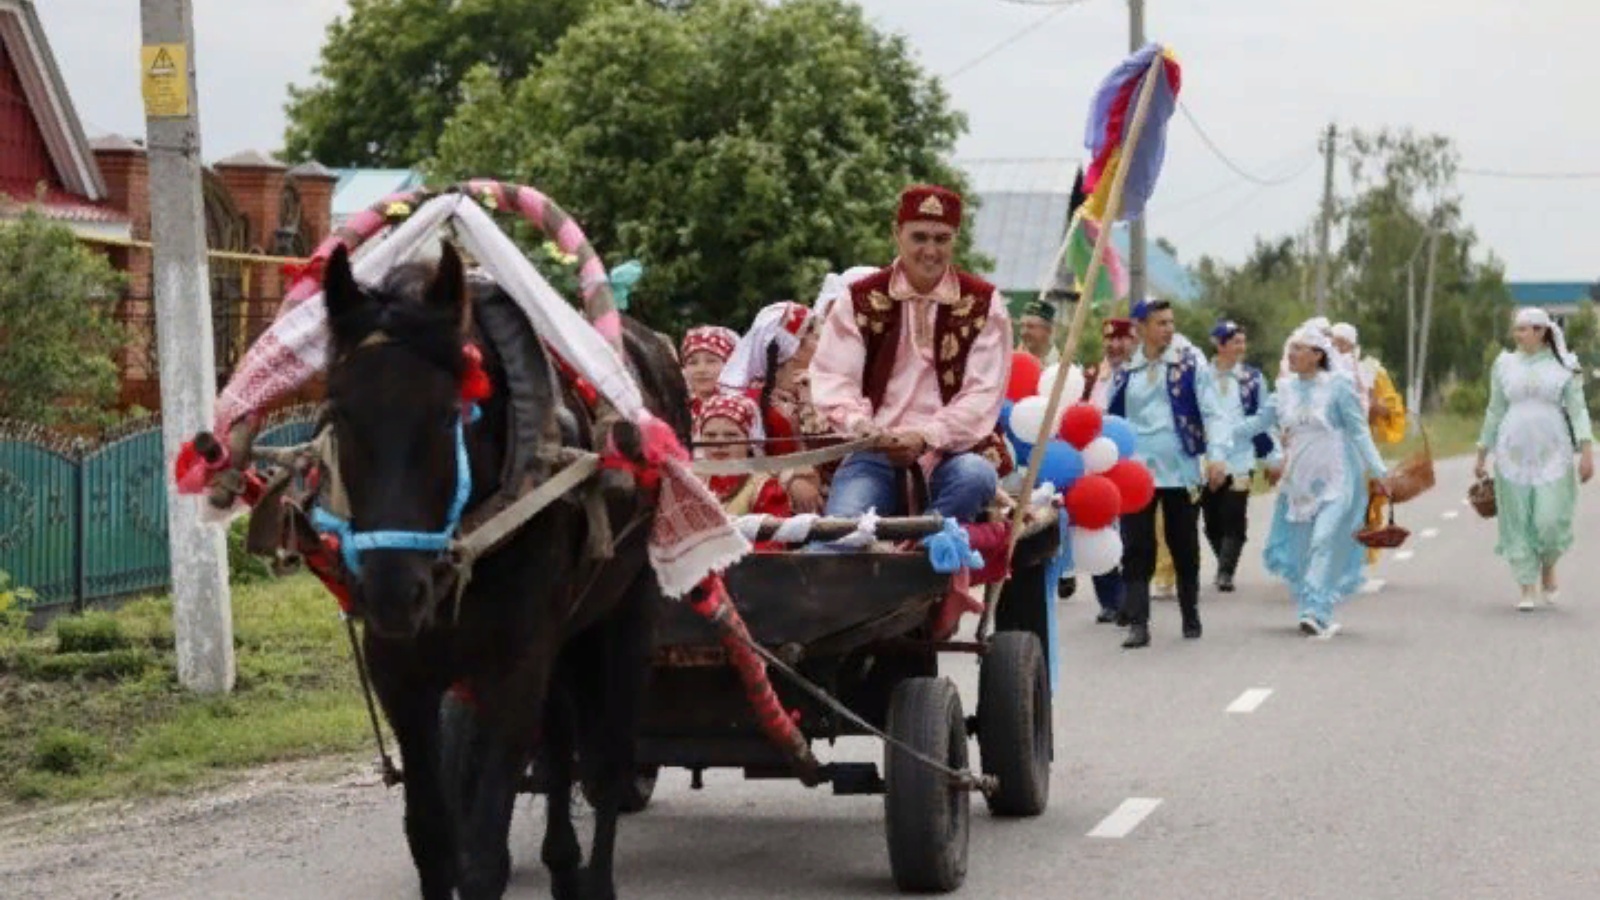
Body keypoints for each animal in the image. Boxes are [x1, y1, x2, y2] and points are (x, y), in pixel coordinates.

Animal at [315, 240, 684, 896]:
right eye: (339, 409)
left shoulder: (514, 666)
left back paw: (595, 877)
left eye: (451, 414)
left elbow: (484, 854)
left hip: (628, 613)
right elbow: (432, 841)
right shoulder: (400, 674)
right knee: (561, 740)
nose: (392, 593)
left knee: (609, 761)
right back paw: (562, 860)